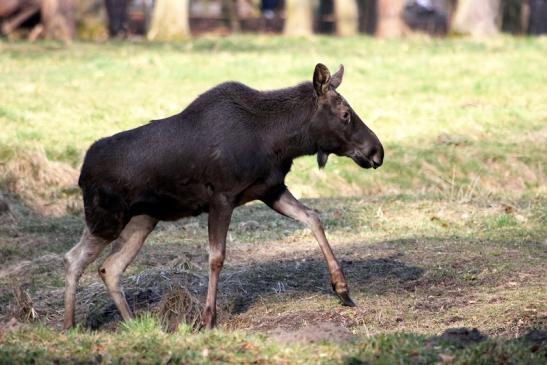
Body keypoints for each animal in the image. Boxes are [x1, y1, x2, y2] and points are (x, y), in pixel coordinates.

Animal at [64, 64, 386, 328]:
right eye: (345, 115)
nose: (377, 151)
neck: (281, 141)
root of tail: (81, 173)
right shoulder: (221, 197)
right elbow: (216, 257)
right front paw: (208, 319)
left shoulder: (271, 189)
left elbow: (313, 218)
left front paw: (342, 289)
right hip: (106, 219)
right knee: (73, 259)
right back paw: (70, 325)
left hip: (142, 221)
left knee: (109, 267)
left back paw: (131, 323)